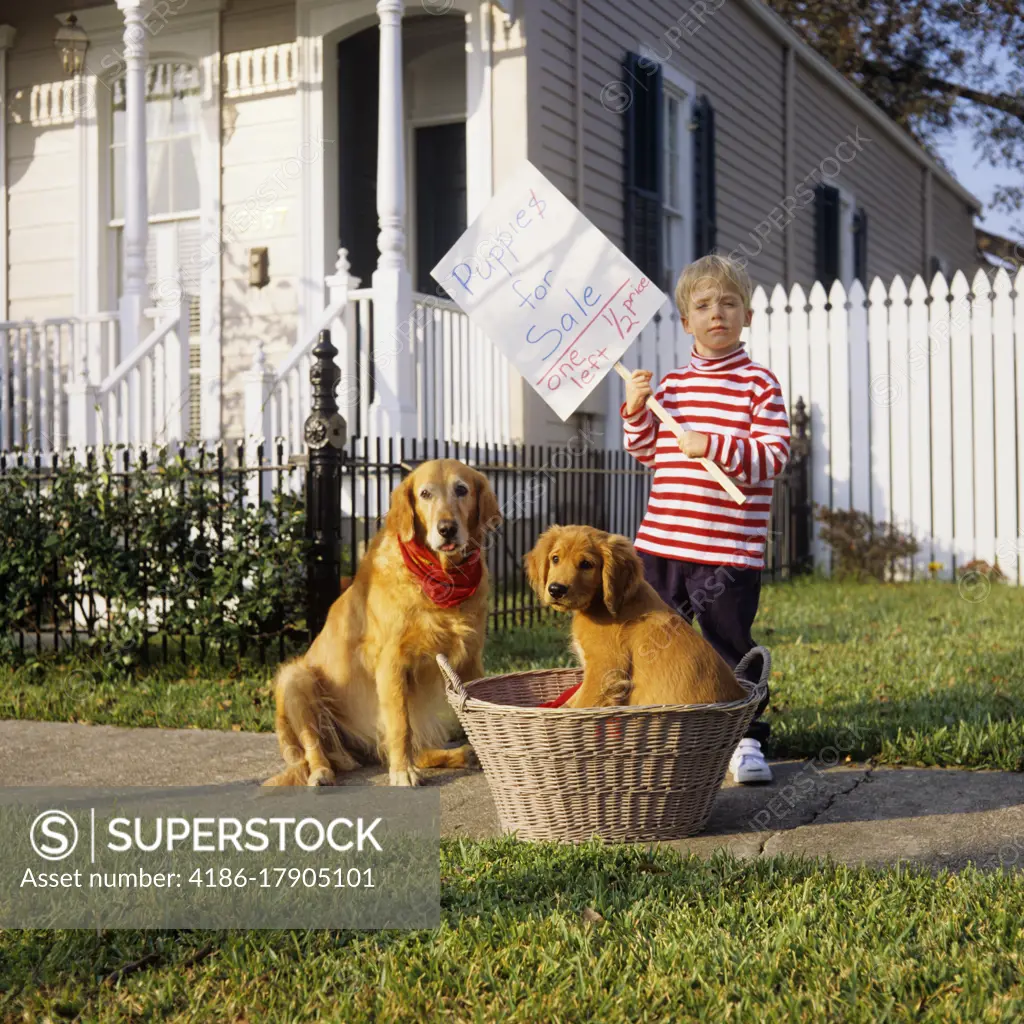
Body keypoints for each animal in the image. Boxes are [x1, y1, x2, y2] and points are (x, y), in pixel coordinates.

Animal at [266, 460, 501, 786]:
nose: (447, 529)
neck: (441, 579)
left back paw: (460, 755)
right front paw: (403, 772)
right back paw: (322, 772)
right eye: (425, 493)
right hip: (295, 678)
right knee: (315, 746)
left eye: (461, 490)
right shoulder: (391, 662)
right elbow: (400, 724)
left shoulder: (469, 659)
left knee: (416, 749)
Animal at [528, 524, 745, 708]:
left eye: (586, 564)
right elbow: (570, 700)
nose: (556, 590)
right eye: (555, 559)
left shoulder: (605, 670)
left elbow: (581, 704)